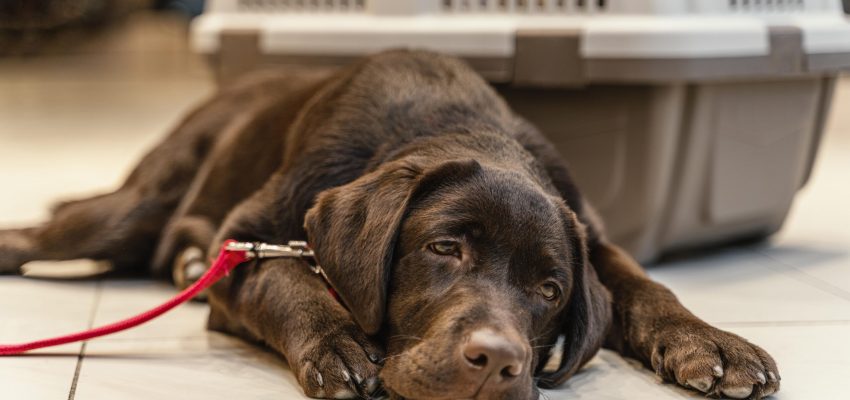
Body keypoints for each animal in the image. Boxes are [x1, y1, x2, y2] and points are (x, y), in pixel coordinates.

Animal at [0, 50, 776, 400]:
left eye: (551, 291)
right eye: (443, 248)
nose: (497, 361)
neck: (452, 122)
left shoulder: (590, 234)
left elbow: (646, 287)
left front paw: (712, 344)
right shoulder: (245, 240)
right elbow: (289, 282)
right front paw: (339, 344)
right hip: (132, 208)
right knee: (50, 234)